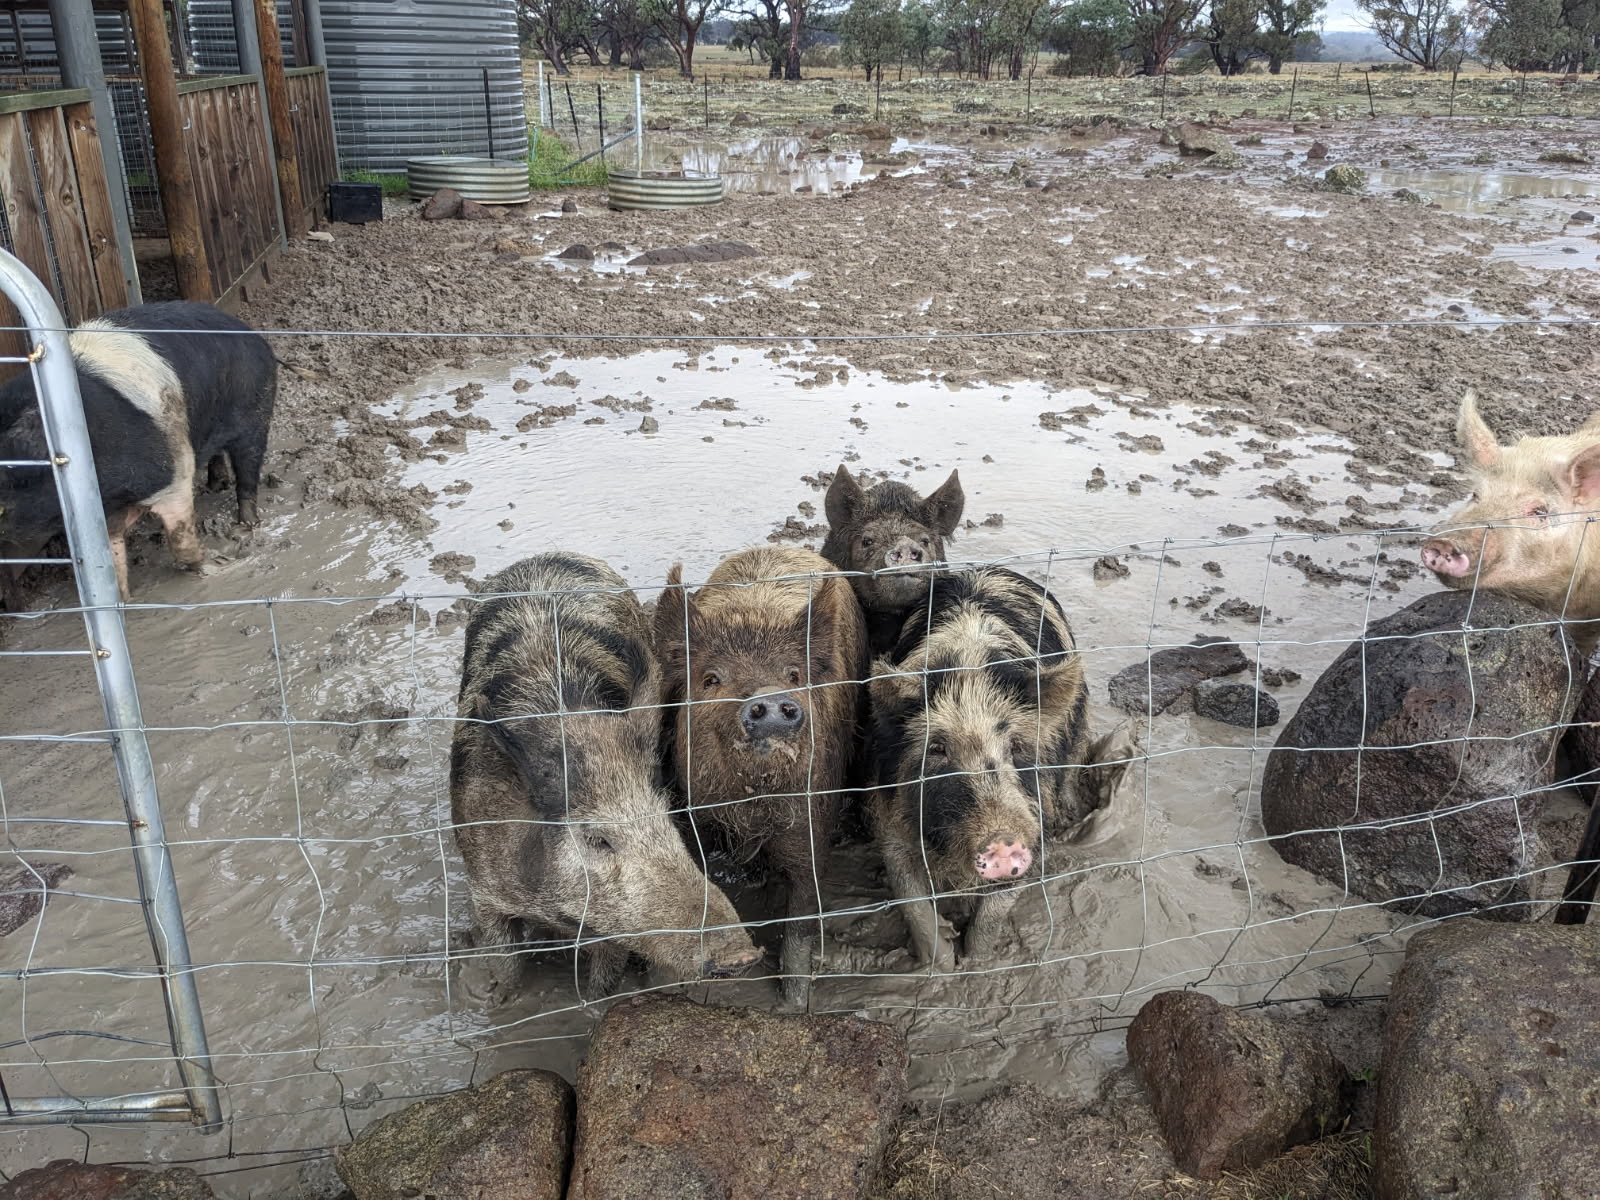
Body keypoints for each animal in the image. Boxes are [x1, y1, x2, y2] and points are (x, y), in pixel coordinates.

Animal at [0, 301, 276, 603]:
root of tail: (250, 333)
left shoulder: (173, 467)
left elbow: (180, 534)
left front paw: (217, 565)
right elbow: (111, 555)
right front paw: (122, 600)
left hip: (257, 410)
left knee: (248, 468)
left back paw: (247, 524)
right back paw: (217, 486)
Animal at [451, 552, 761, 998]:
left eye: (666, 822)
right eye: (598, 838)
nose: (743, 955)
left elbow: (604, 979)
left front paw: (598, 1001)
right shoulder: (484, 892)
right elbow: (505, 961)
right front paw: (494, 999)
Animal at [654, 545, 870, 1009]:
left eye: (793, 675)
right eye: (712, 678)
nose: (770, 699)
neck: (753, 807)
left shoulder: (811, 817)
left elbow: (802, 918)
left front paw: (792, 1005)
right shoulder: (697, 815)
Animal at [867, 565, 1130, 970]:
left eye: (1016, 746)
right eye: (937, 749)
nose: (1003, 842)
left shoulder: (1033, 822)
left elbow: (993, 913)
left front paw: (978, 963)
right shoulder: (890, 818)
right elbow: (915, 905)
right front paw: (942, 969)